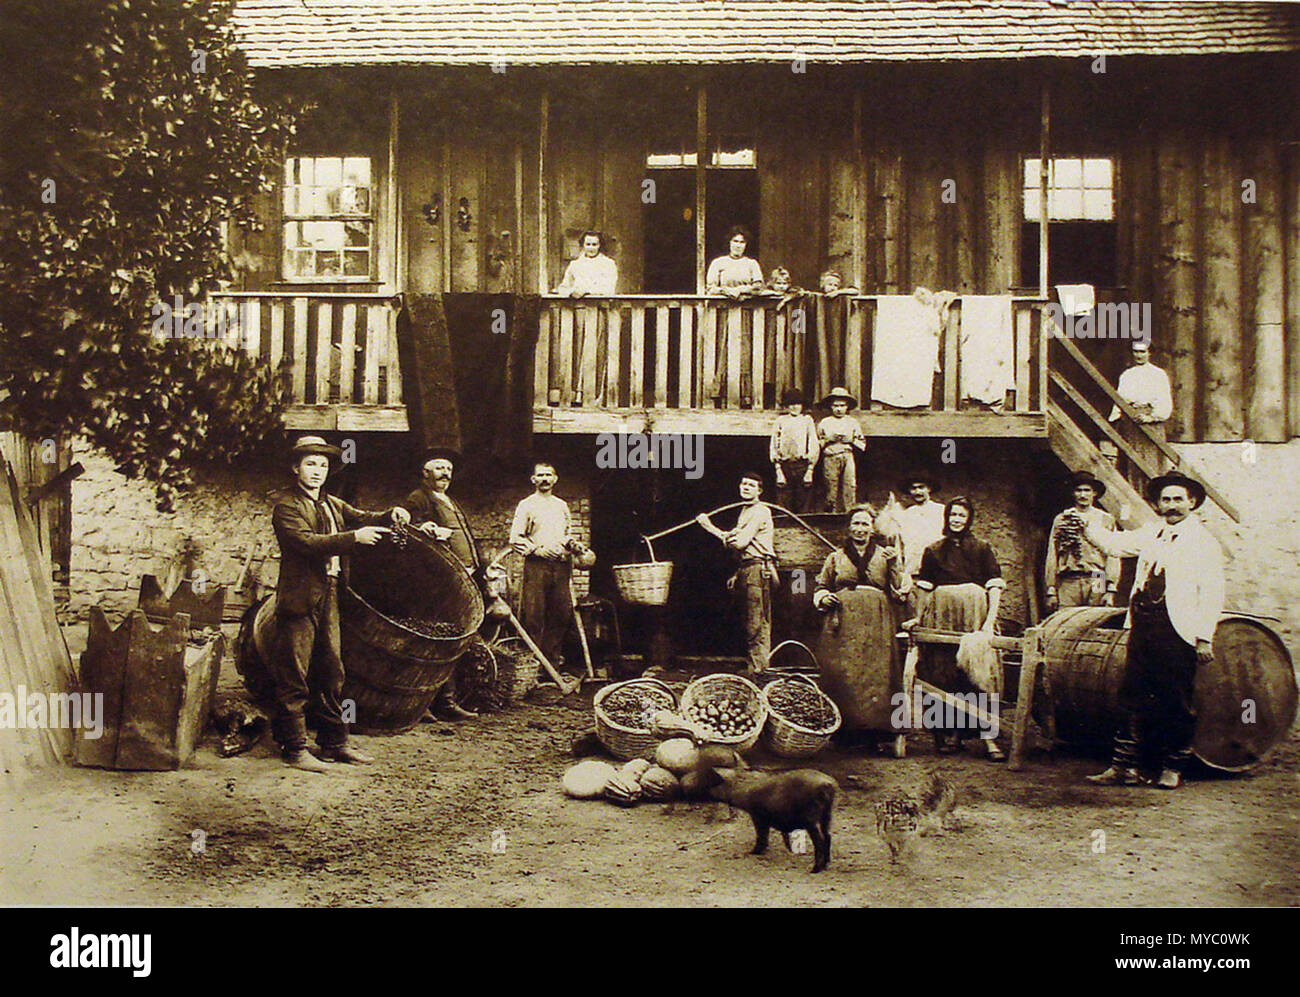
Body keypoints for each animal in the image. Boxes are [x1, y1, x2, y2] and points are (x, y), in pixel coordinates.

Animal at [707, 764, 837, 873]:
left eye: (716, 782)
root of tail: (828, 784)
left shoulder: (758, 816)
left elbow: (762, 836)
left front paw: (752, 852)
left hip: (811, 819)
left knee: (819, 841)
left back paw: (814, 869)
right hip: (827, 815)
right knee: (828, 836)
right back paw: (826, 865)